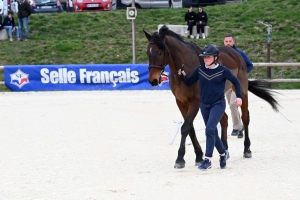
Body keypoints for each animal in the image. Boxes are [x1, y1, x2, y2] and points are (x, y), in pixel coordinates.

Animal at [143, 25, 278, 169]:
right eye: (148, 53)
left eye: (160, 52)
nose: (153, 80)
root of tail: (236, 53)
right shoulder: (181, 102)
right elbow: (190, 128)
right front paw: (198, 156)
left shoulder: (195, 101)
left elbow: (185, 127)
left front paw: (180, 159)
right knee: (224, 119)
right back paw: (225, 150)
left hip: (241, 91)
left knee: (245, 118)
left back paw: (247, 149)